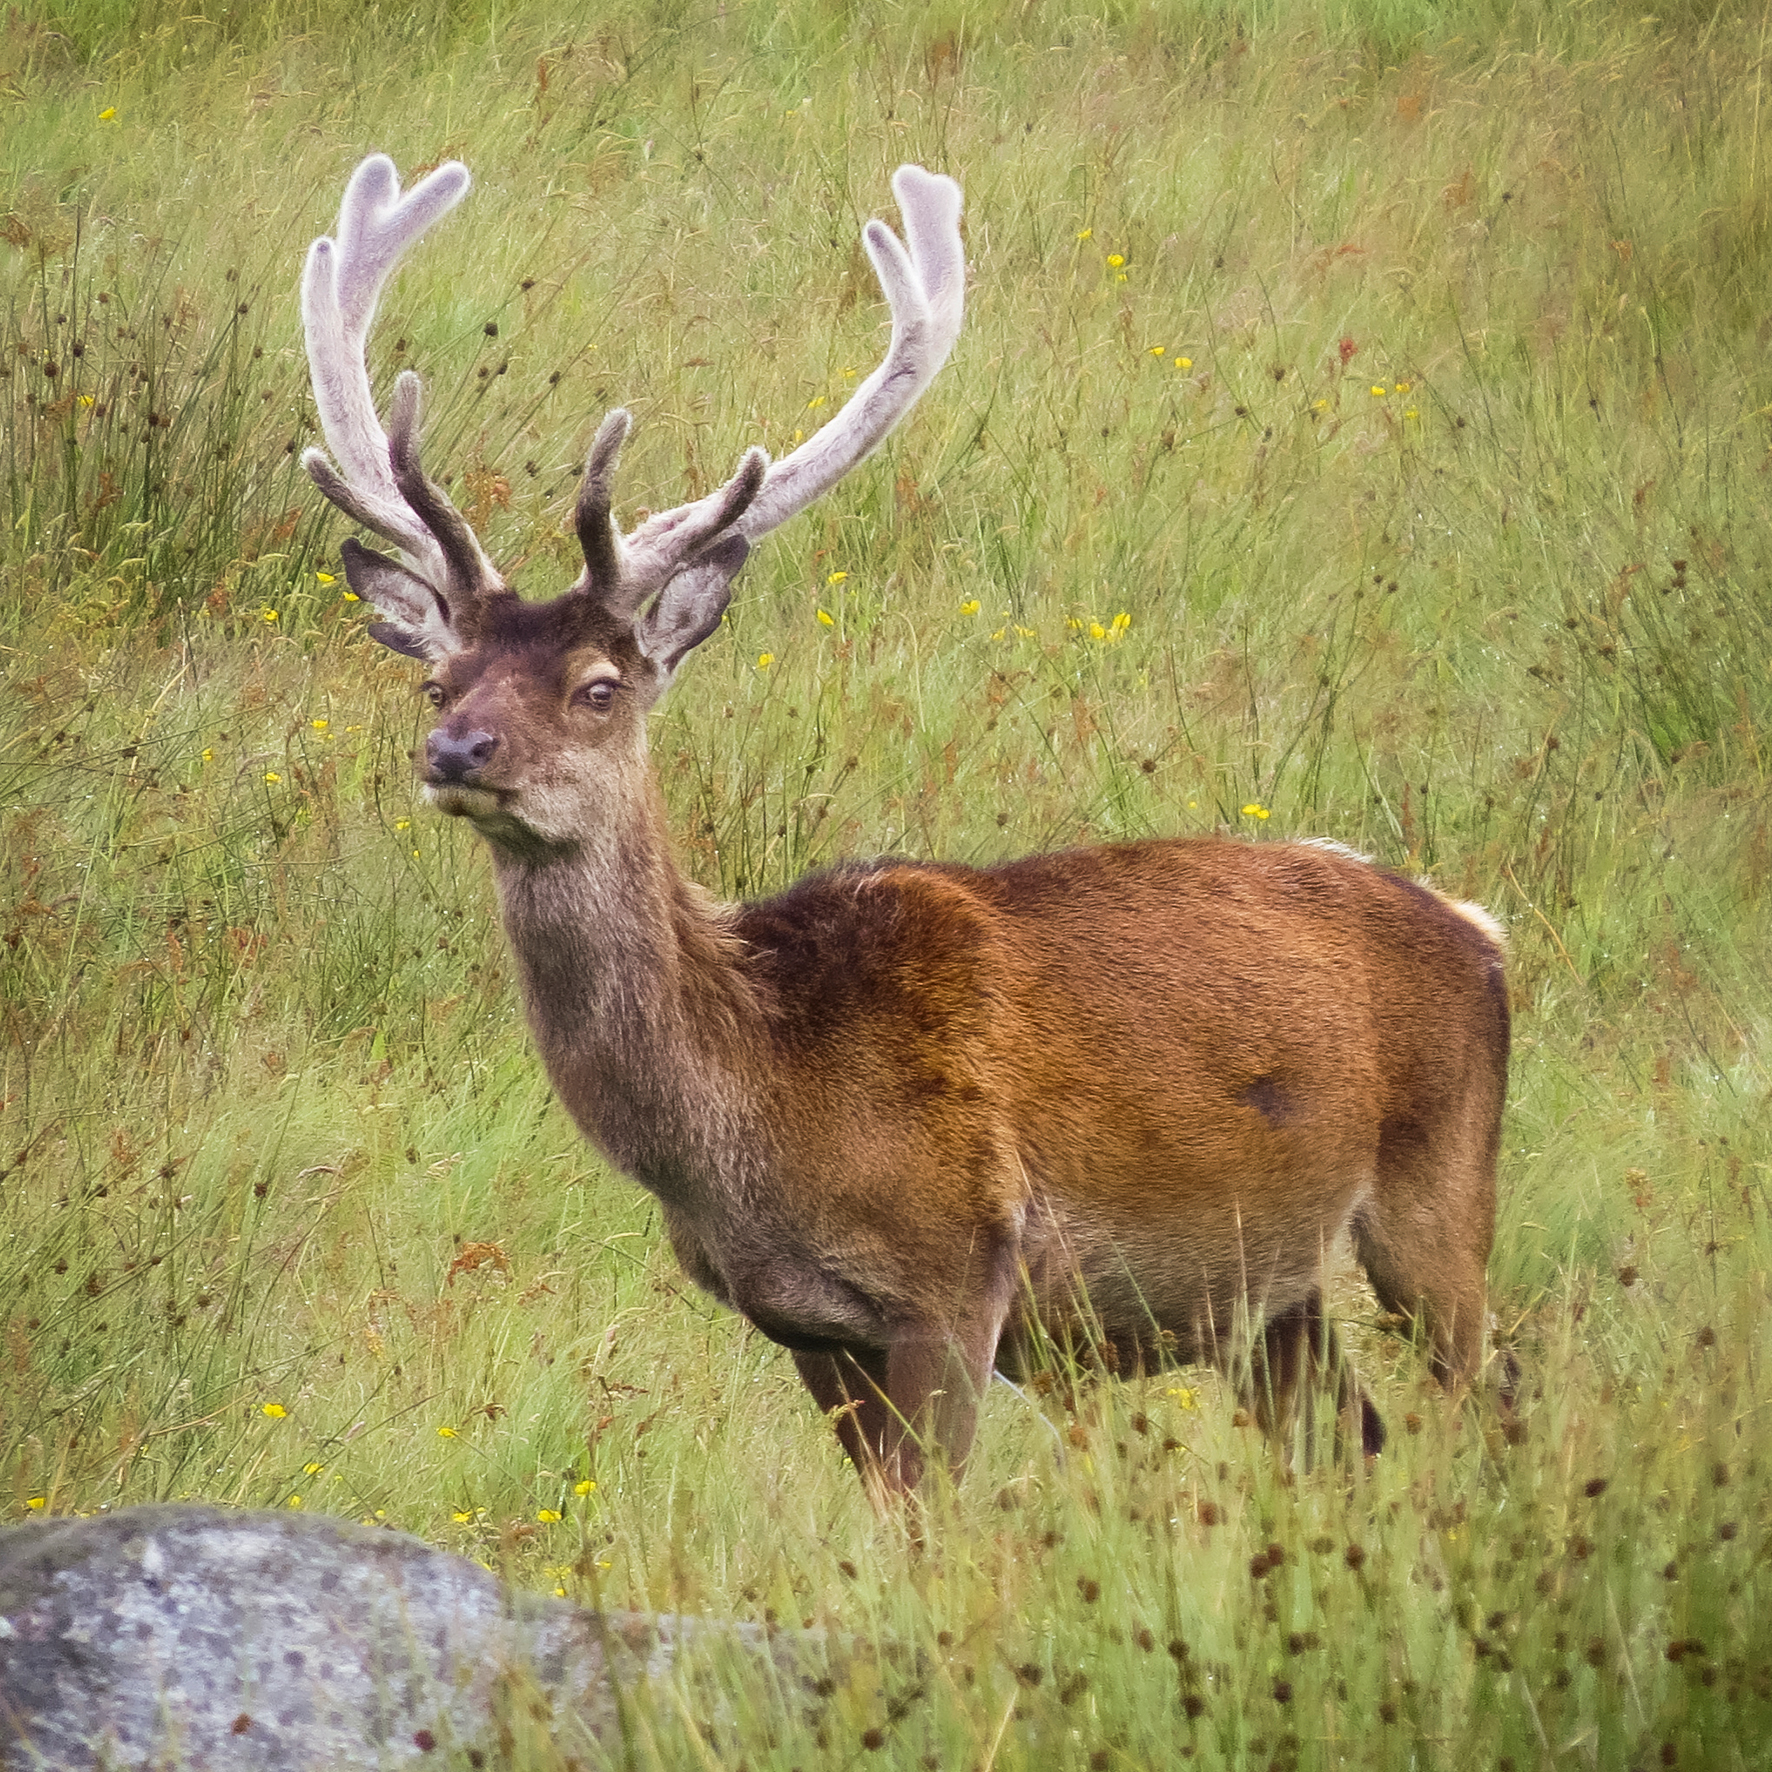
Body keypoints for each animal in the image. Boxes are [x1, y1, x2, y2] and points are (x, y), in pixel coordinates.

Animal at [301, 155, 1510, 1507]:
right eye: (437, 681)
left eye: (598, 686)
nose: (457, 752)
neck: (765, 1101)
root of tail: (1478, 929)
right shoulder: (802, 1324)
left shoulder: (957, 1271)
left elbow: (937, 1520)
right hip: (1268, 1290)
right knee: (1349, 1436)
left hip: (1435, 1181)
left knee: (1489, 1387)